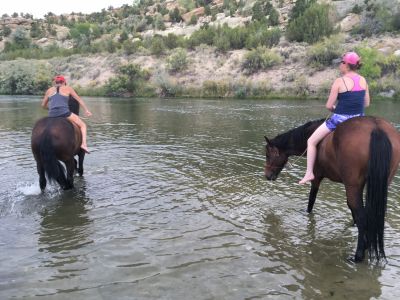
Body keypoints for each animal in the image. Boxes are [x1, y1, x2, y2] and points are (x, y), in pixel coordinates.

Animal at [266, 116, 400, 262]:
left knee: (362, 216)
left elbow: (311, 201)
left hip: (352, 186)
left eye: (268, 155)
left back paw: (358, 256)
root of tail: (376, 127)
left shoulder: (317, 178)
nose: (267, 176)